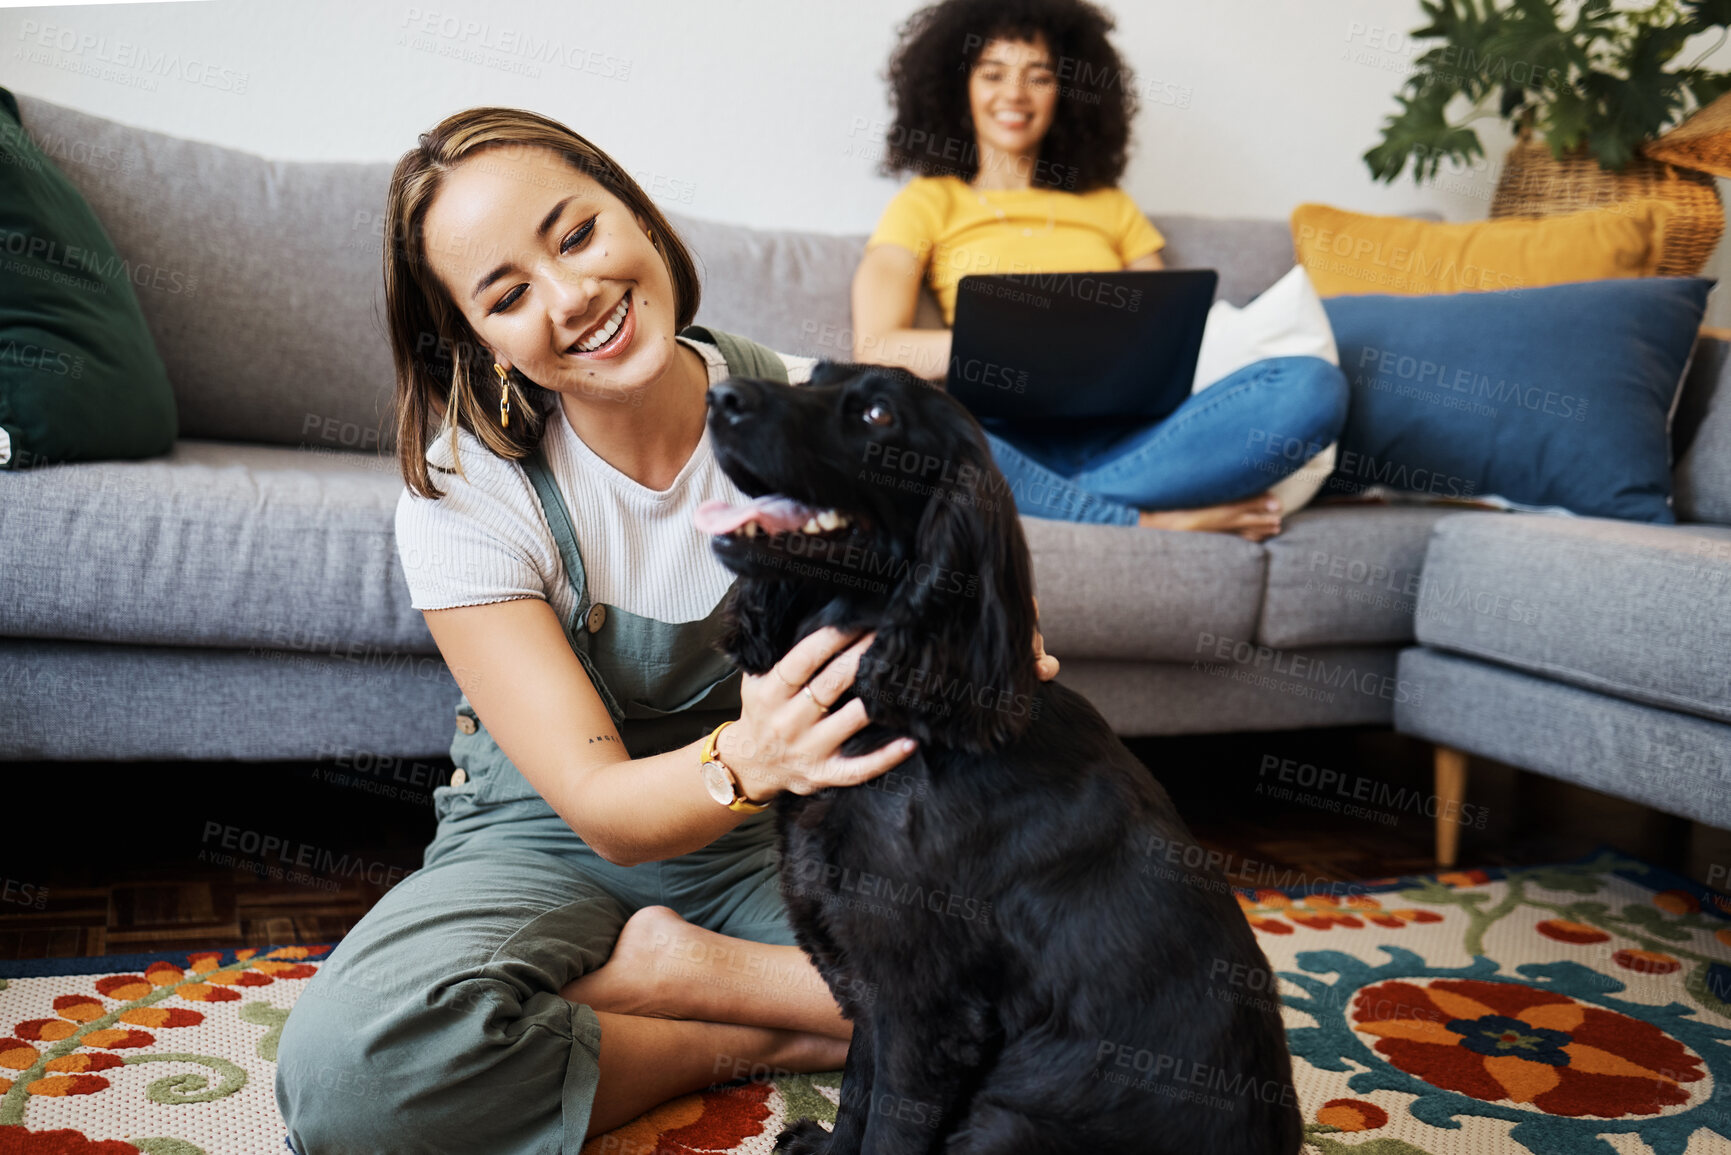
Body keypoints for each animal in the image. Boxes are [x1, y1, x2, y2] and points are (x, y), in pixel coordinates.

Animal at [699, 365, 1301, 1155]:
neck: (914, 720)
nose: (720, 397)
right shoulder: (870, 984)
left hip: (999, 1121)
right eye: (814, 377)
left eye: (877, 414)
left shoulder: (924, 1011)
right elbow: (855, 1094)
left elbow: (884, 1126)